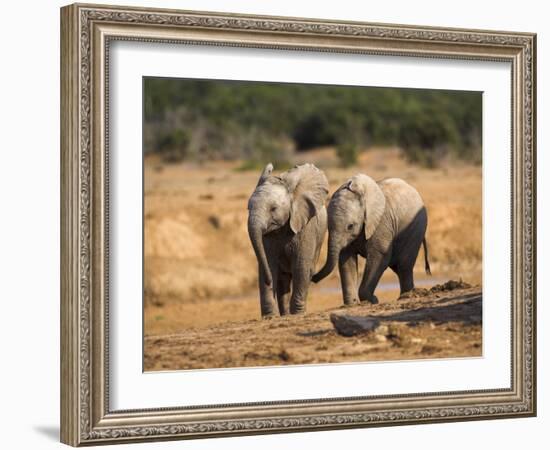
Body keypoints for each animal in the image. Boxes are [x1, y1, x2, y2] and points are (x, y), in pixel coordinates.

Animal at [249, 163, 330, 318]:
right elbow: (268, 264)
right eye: (248, 207)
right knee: (283, 279)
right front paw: (269, 317)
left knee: (307, 272)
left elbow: (301, 266)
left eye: (273, 209)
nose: (269, 280)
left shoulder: (306, 227)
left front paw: (297, 314)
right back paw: (285, 315)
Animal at [312, 174, 434, 304]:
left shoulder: (382, 222)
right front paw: (352, 304)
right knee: (398, 267)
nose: (312, 276)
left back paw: (407, 296)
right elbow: (346, 259)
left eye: (350, 226)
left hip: (415, 229)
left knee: (404, 265)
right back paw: (408, 294)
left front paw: (373, 300)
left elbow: (379, 256)